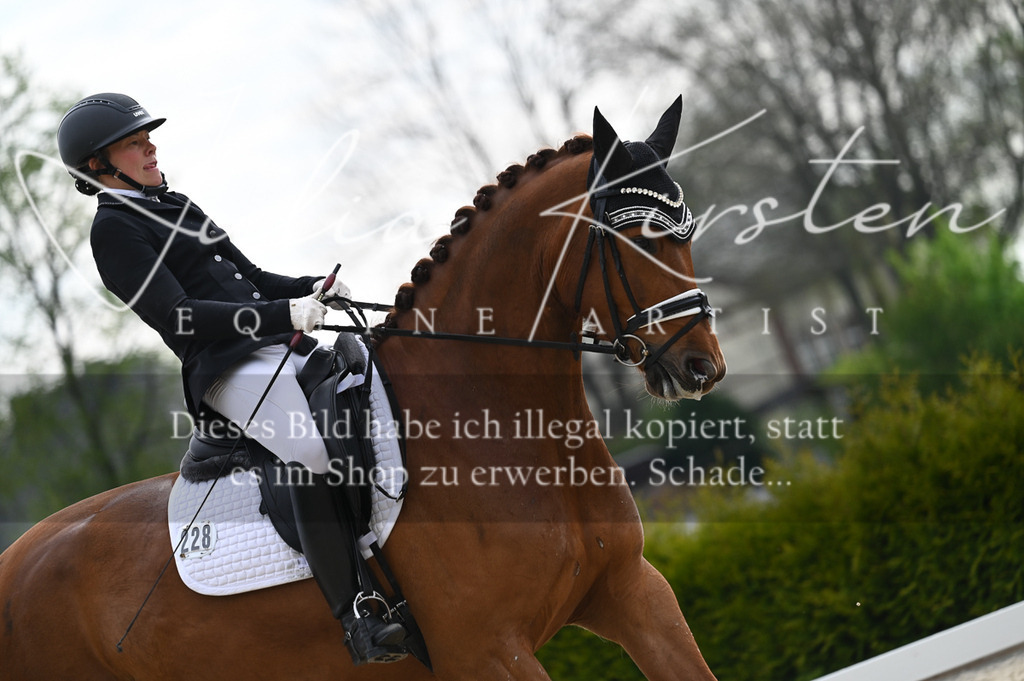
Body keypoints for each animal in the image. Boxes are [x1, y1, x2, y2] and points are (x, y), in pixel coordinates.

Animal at [0, 97, 725, 680]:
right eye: (632, 236)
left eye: (686, 228)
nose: (703, 367)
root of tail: (15, 558)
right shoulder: (487, 650)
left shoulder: (634, 590)